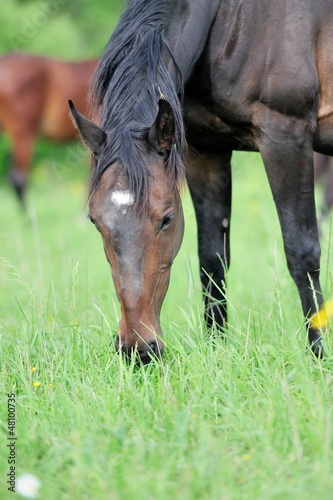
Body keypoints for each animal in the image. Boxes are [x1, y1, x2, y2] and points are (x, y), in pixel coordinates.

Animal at [68, 0, 332, 362]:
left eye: (166, 219)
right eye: (95, 221)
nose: (137, 348)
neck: (229, 20)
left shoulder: (286, 136)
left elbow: (302, 252)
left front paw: (319, 354)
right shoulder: (204, 150)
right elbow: (213, 257)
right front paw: (216, 347)